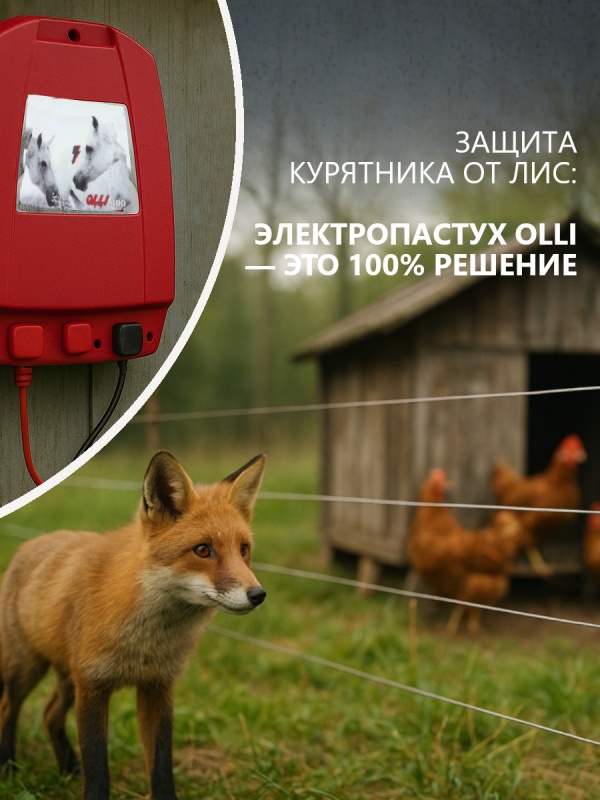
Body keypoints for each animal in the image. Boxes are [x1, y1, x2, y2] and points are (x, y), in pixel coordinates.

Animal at [0, 450, 267, 800]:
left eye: (243, 549)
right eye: (202, 550)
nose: (258, 595)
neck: (145, 643)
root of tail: (30, 544)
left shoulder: (158, 687)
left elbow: (161, 763)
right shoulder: (93, 687)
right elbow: (98, 768)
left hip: (67, 678)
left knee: (49, 714)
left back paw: (68, 768)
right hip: (27, 669)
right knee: (8, 707)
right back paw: (7, 768)